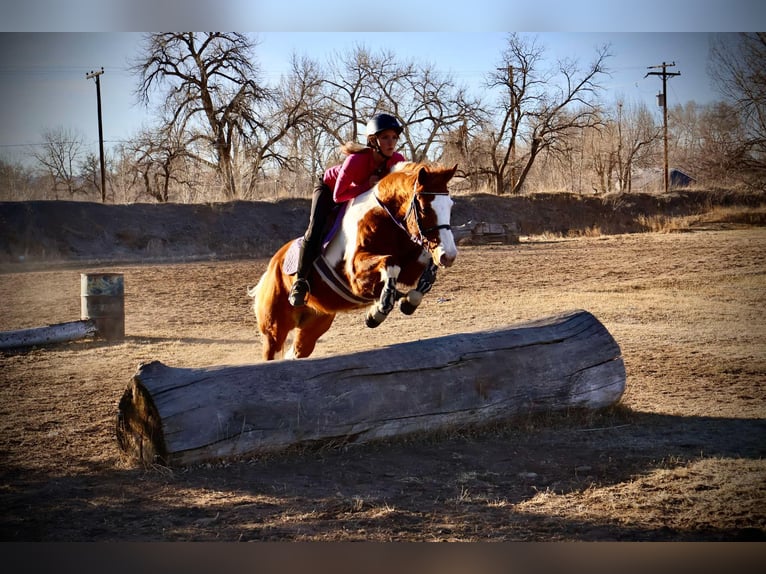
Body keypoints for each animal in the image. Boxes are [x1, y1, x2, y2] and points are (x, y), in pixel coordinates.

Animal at [249, 161, 459, 360]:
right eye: (424, 208)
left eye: (450, 206)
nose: (448, 256)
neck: (386, 220)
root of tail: (271, 267)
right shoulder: (355, 276)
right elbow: (391, 263)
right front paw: (378, 311)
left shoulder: (411, 266)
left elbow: (423, 270)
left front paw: (406, 301)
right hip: (275, 327)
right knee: (271, 349)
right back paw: (298, 292)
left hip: (314, 324)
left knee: (298, 351)